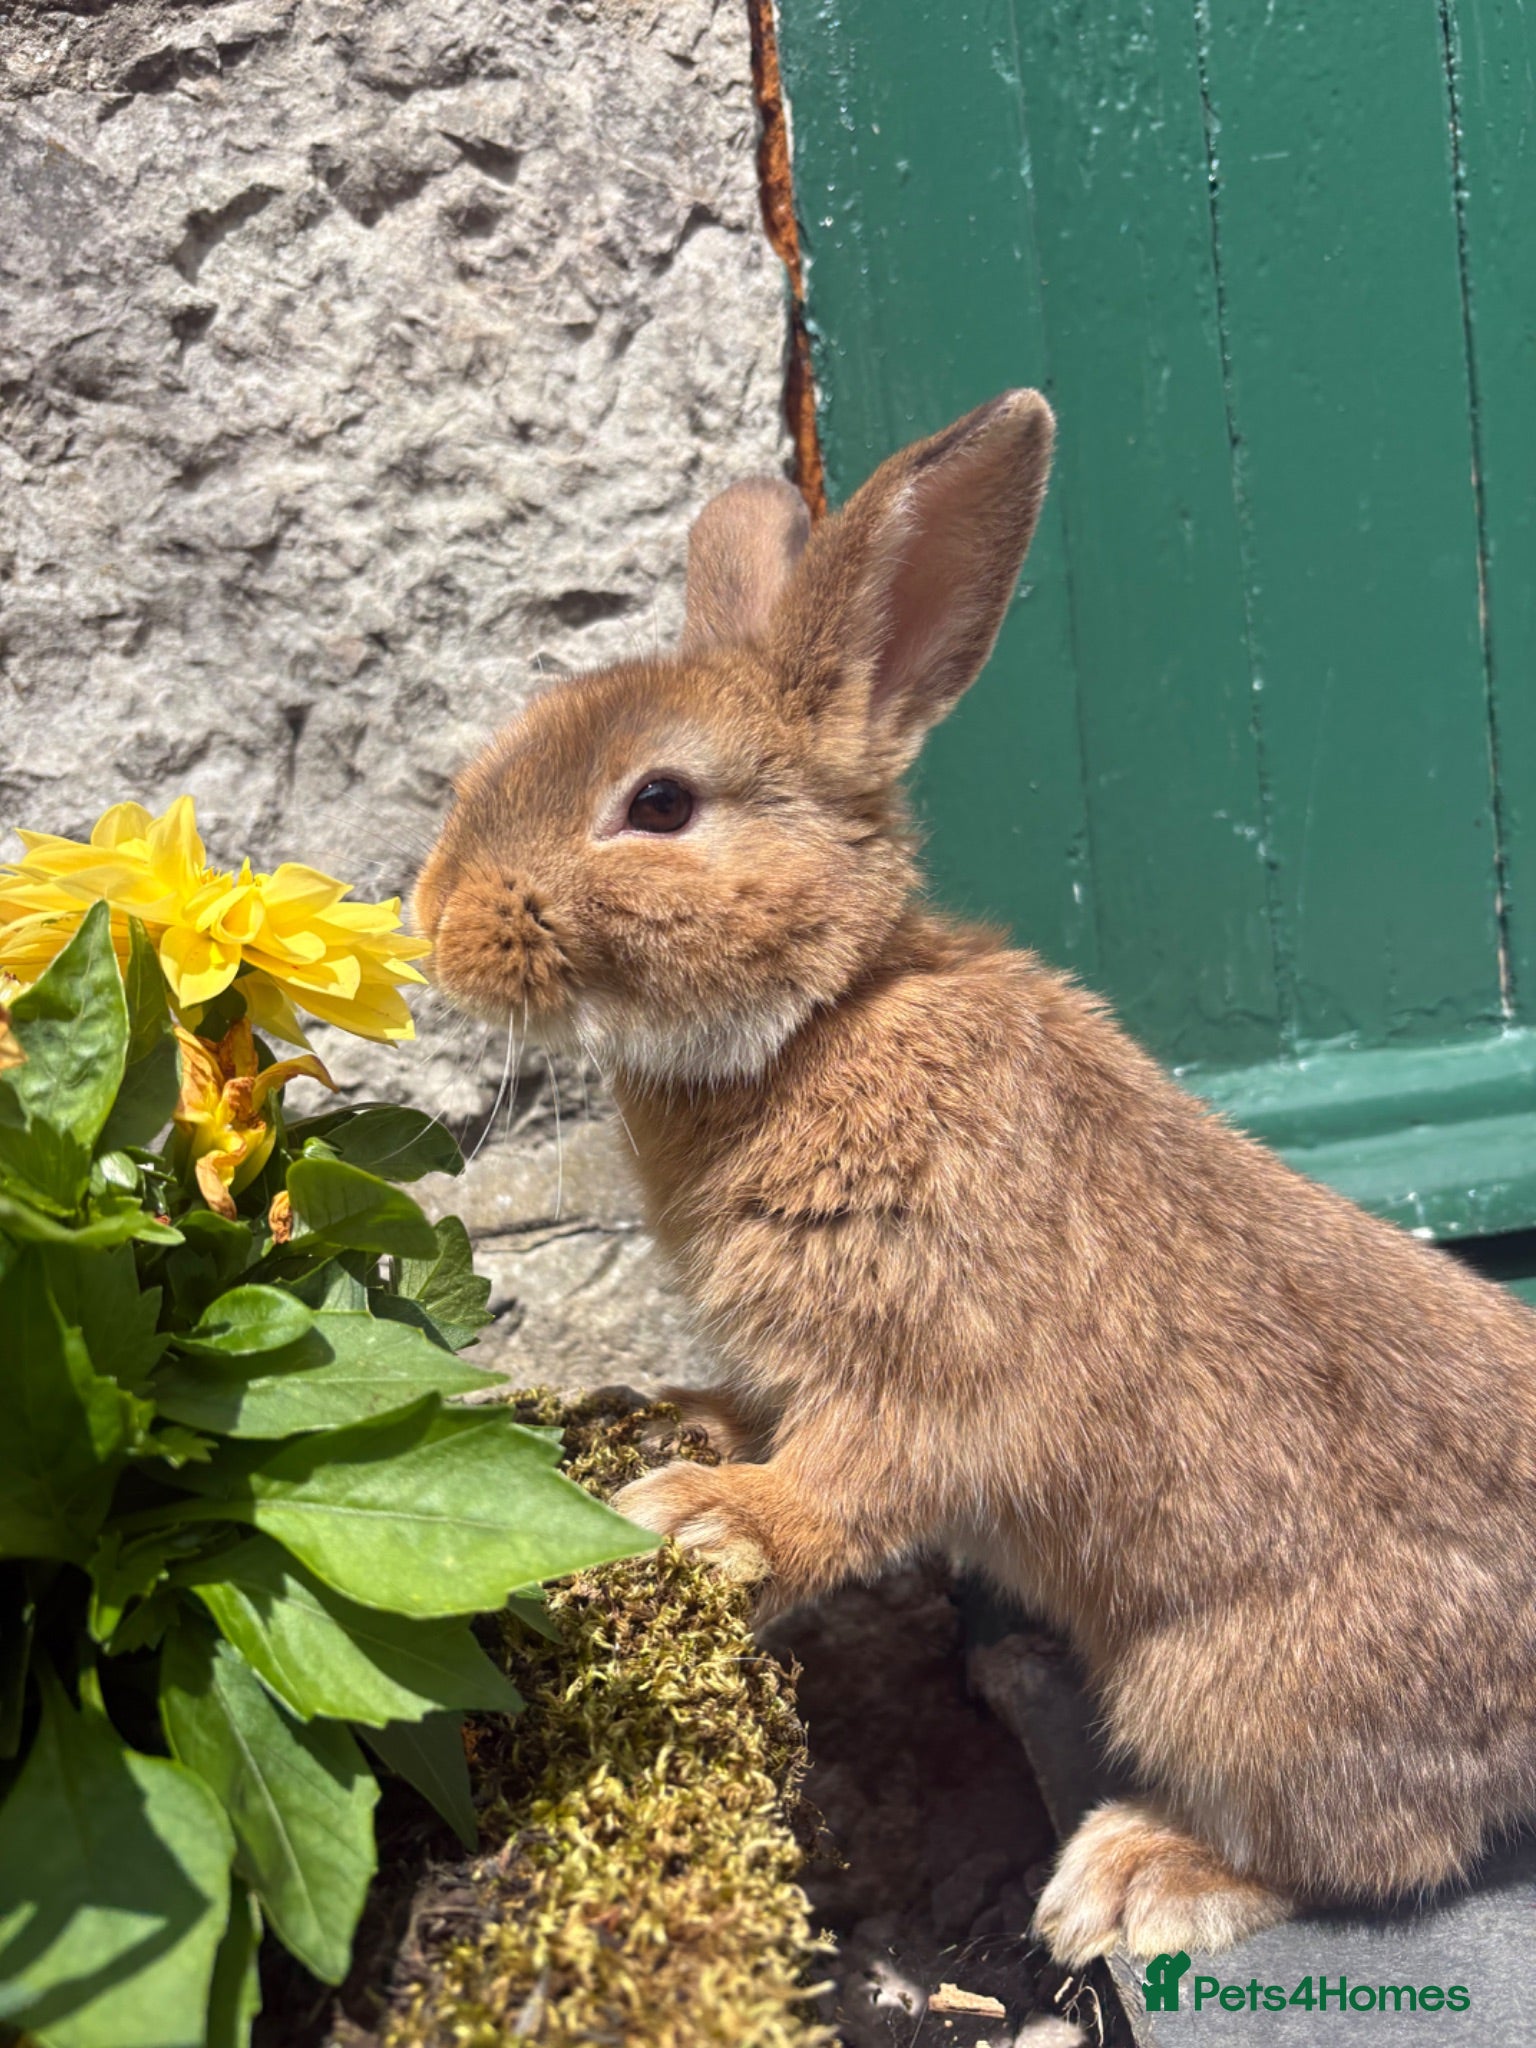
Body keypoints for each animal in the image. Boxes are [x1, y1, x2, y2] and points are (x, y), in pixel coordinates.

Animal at [414, 389, 1536, 1966]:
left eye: (661, 802)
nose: (428, 919)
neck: (817, 1018)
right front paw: (673, 1421)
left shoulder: (929, 1346)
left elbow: (857, 1480)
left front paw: (702, 1518)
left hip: (1234, 1688)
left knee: (1374, 1847)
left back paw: (1137, 1875)